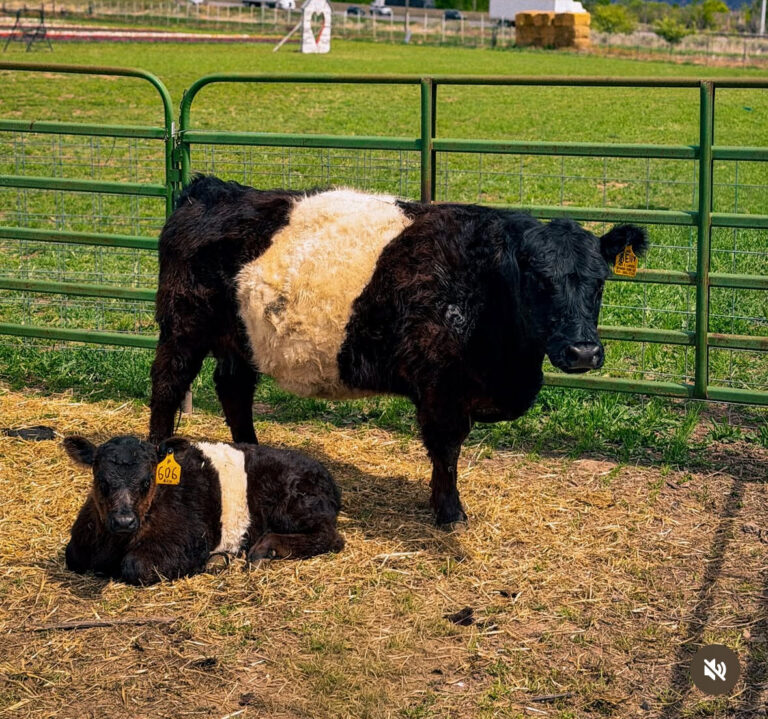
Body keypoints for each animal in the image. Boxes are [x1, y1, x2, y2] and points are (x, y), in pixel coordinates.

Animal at [63, 435, 344, 585]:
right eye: (101, 481)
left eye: (147, 481)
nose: (124, 520)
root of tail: (326, 474)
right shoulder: (78, 546)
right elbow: (72, 556)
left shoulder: (189, 540)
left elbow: (135, 565)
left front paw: (212, 562)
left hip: (295, 506)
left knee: (331, 537)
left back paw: (265, 548)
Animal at [149, 175, 648, 527]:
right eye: (539, 279)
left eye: (600, 281)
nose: (582, 352)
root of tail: (212, 189)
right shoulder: (441, 388)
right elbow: (446, 450)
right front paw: (450, 513)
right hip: (182, 326)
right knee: (167, 385)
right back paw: (155, 454)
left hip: (241, 337)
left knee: (234, 390)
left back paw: (252, 451)